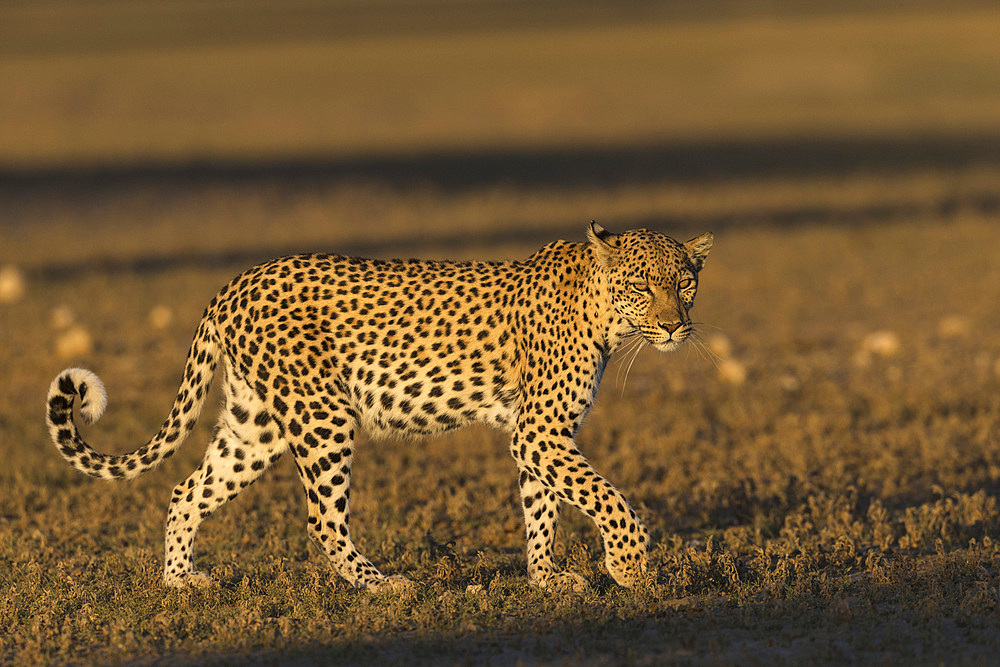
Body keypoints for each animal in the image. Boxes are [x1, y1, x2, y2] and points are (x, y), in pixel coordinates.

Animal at [45, 222, 712, 592]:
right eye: (642, 285)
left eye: (684, 283)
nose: (674, 325)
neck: (607, 318)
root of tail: (232, 285)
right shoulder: (541, 430)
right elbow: (609, 499)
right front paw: (631, 569)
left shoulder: (535, 433)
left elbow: (542, 506)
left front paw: (547, 579)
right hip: (323, 416)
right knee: (321, 518)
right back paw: (383, 585)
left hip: (254, 426)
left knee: (187, 490)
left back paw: (180, 582)